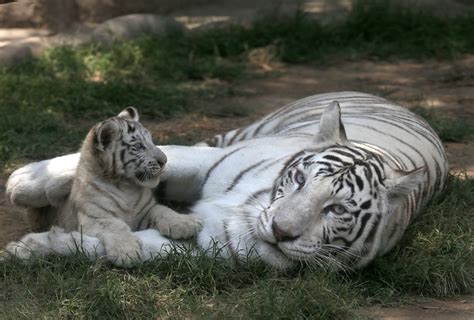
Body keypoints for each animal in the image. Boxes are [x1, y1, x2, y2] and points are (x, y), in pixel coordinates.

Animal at [3, 91, 448, 268]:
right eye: (300, 179)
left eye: (336, 209)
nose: (280, 231)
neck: (251, 208)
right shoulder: (206, 161)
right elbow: (156, 160)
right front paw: (25, 183)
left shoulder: (209, 243)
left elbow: (115, 242)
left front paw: (30, 248)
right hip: (246, 131)